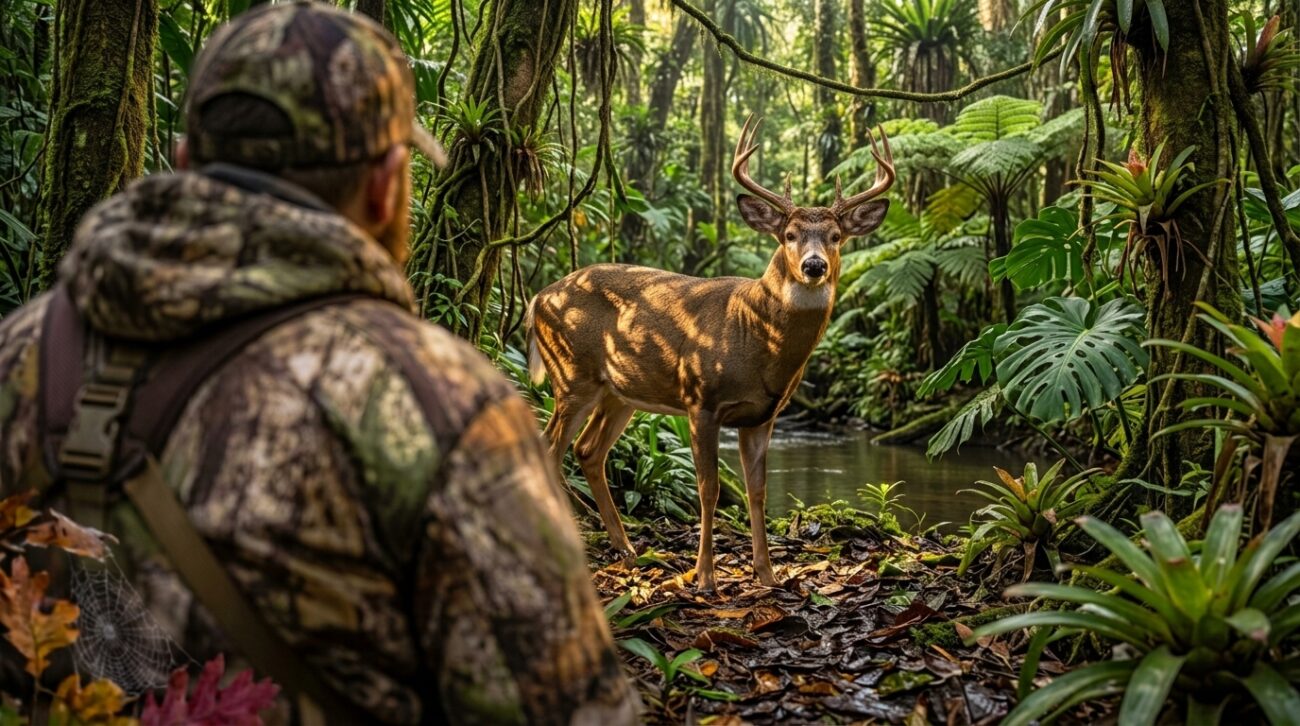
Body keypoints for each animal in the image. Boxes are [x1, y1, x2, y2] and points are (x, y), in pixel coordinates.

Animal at [526, 116, 895, 592]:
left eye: (836, 236)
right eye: (789, 235)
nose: (814, 265)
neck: (755, 338)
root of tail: (538, 298)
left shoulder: (763, 416)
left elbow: (758, 491)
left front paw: (767, 574)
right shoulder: (700, 397)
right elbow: (710, 488)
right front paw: (704, 576)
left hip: (619, 391)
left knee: (588, 450)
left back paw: (627, 550)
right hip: (572, 373)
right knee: (550, 447)